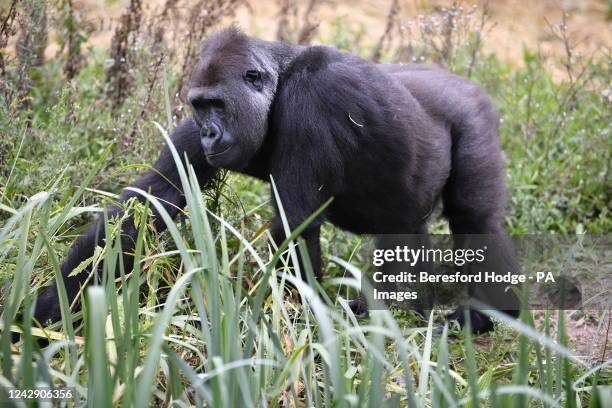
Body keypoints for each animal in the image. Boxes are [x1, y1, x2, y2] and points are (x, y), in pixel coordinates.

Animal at [31, 26, 516, 332]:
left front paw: (301, 325)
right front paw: (45, 311)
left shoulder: (311, 100)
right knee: (407, 231)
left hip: (474, 115)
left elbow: (295, 227)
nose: (209, 132)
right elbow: (146, 206)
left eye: (218, 105)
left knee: (475, 219)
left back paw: (483, 318)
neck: (281, 77)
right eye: (200, 106)